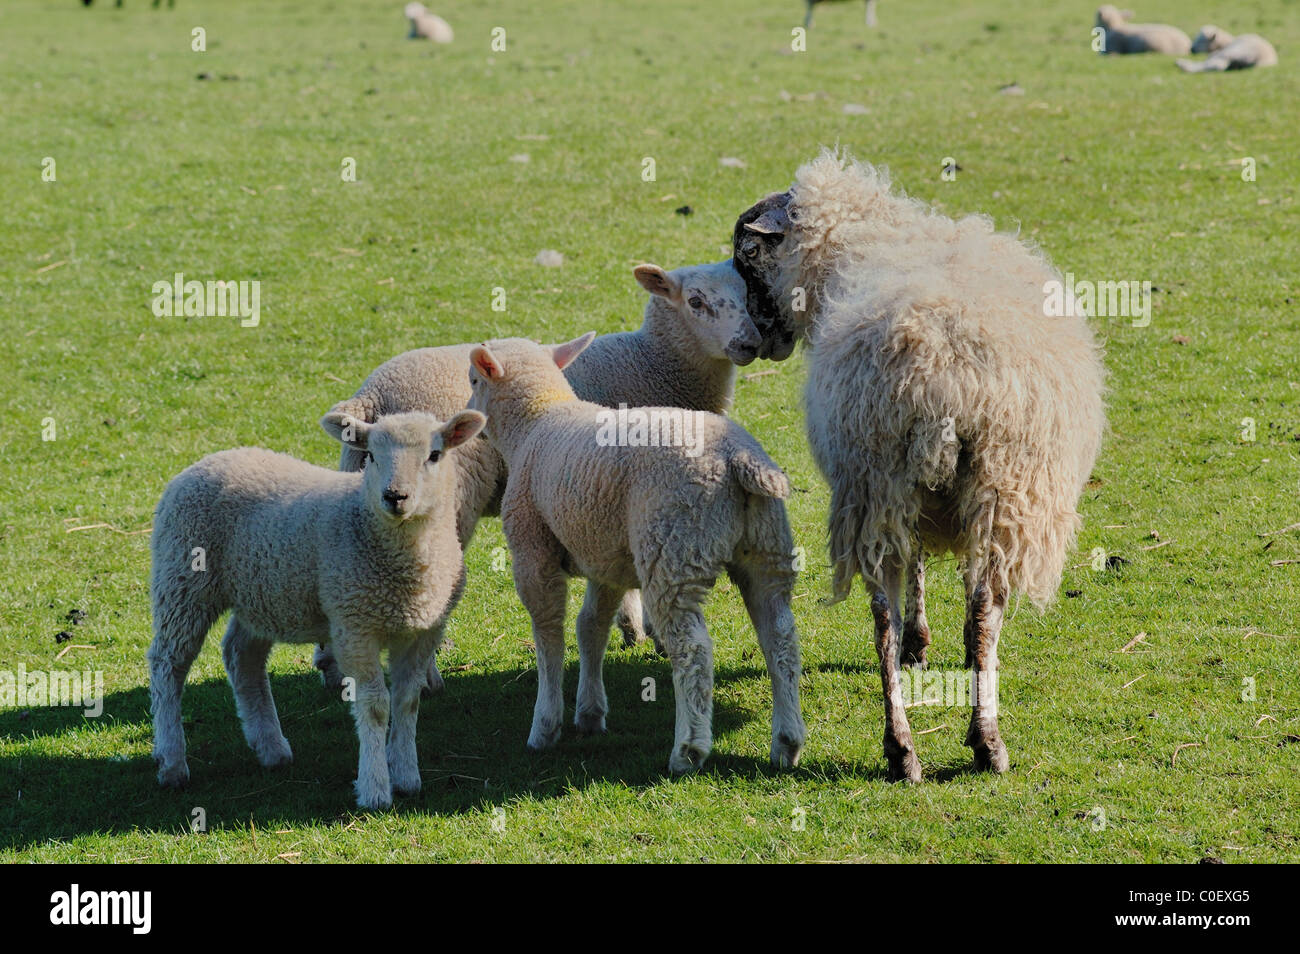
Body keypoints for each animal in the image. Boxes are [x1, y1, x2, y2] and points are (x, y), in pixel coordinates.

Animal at [148, 409, 486, 809]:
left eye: (435, 455)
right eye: (371, 455)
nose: (395, 496)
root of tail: (205, 462)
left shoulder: (424, 630)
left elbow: (407, 701)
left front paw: (406, 776)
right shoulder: (354, 625)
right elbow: (375, 705)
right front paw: (375, 788)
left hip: (261, 593)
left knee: (241, 656)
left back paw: (271, 748)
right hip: (183, 580)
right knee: (168, 664)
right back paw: (171, 762)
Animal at [312, 259, 763, 690]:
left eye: (746, 293)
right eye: (695, 301)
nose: (749, 343)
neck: (650, 360)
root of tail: (369, 397)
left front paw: (633, 625)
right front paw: (646, 628)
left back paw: (333, 669)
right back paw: (424, 677)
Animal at [466, 335, 806, 774]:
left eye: (474, 379)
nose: (470, 422)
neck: (537, 423)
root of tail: (737, 458)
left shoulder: (532, 551)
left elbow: (549, 636)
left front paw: (545, 725)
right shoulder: (605, 557)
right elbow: (591, 627)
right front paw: (590, 713)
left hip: (674, 549)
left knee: (692, 648)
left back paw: (688, 750)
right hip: (767, 546)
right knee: (780, 638)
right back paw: (787, 741)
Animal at [732, 150, 1106, 782]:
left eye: (745, 257)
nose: (754, 339)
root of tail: (942, 369)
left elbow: (921, 564)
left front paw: (919, 640)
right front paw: (922, 642)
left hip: (895, 484)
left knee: (918, 613)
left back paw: (925, 746)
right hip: (979, 486)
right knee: (965, 611)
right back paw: (955, 743)